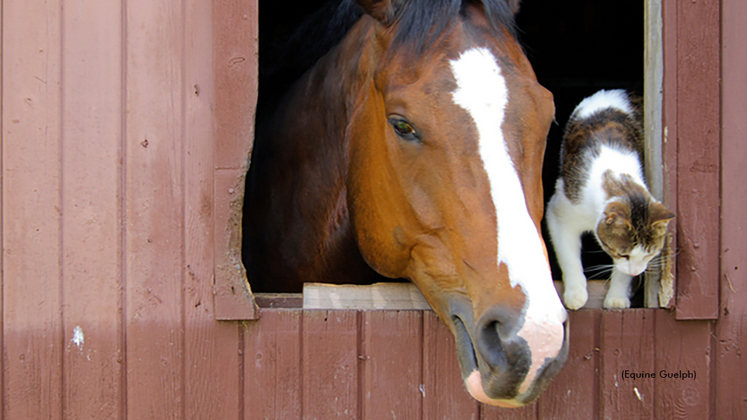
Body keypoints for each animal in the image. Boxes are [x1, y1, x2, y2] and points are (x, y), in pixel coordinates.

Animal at [544, 89, 676, 308]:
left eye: (649, 254)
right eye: (623, 254)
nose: (636, 272)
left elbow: (621, 274)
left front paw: (617, 296)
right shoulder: (560, 212)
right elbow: (568, 256)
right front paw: (575, 293)